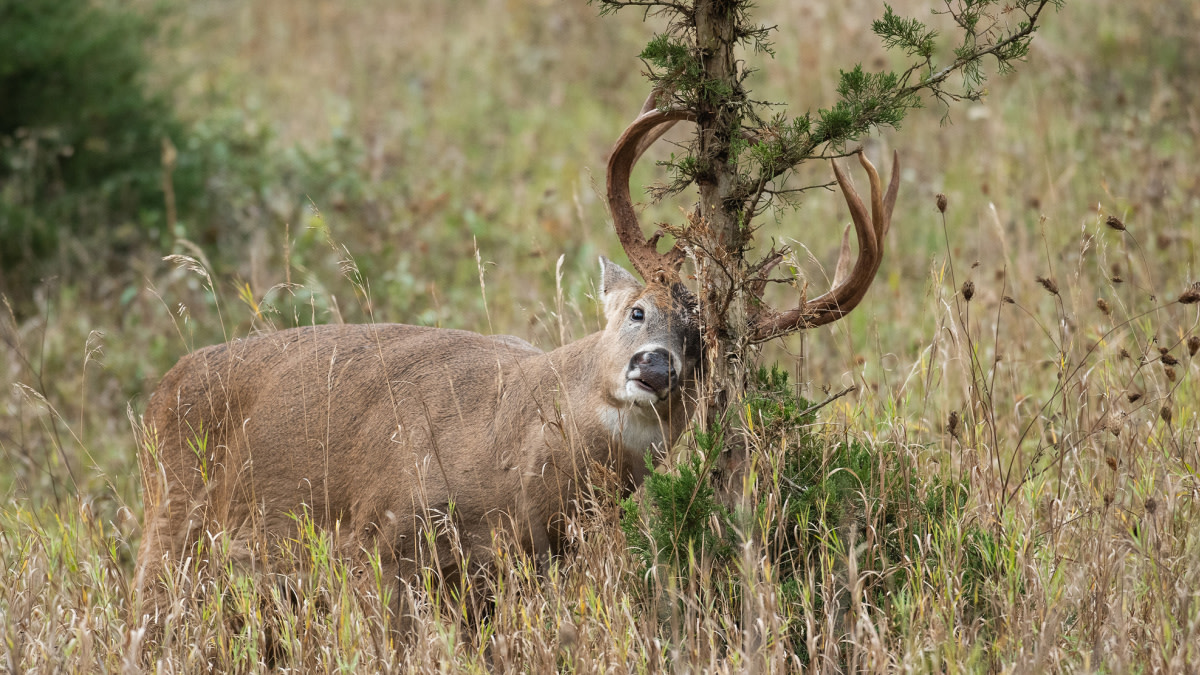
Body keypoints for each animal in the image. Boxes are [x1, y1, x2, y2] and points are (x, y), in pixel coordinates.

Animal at [136, 90, 897, 629]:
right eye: (638, 310)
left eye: (703, 349)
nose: (655, 369)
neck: (508, 459)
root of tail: (161, 390)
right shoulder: (376, 541)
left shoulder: (515, 573)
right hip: (173, 520)